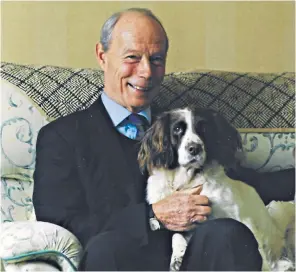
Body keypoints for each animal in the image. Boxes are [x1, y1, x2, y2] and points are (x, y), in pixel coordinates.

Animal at [138, 107, 294, 270]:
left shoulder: (242, 219)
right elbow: (176, 235)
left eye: (204, 128)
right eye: (177, 129)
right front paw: (177, 256)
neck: (189, 180)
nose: (194, 148)